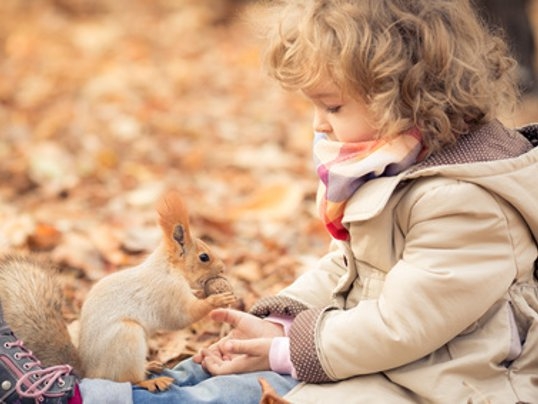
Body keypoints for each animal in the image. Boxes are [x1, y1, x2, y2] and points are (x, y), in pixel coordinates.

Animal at [0, 191, 234, 392]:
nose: (223, 269)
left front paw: (205, 294)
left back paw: (149, 367)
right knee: (127, 380)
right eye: (204, 257)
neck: (168, 268)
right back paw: (150, 381)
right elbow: (183, 316)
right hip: (127, 337)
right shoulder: (168, 291)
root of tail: (89, 372)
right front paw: (217, 299)